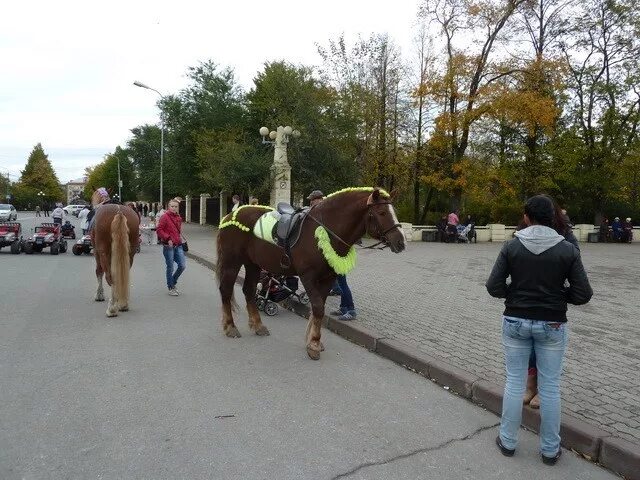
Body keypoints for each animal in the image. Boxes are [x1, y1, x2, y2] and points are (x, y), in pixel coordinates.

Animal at [215, 188, 404, 360]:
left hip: (253, 264)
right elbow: (318, 308)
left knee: (249, 290)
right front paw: (313, 344)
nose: (401, 242)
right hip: (232, 262)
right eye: (381, 212)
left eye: (394, 212)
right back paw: (230, 327)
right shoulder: (308, 277)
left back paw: (258, 325)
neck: (323, 229)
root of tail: (229, 216)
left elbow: (318, 308)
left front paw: (314, 341)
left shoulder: (328, 279)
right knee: (226, 290)